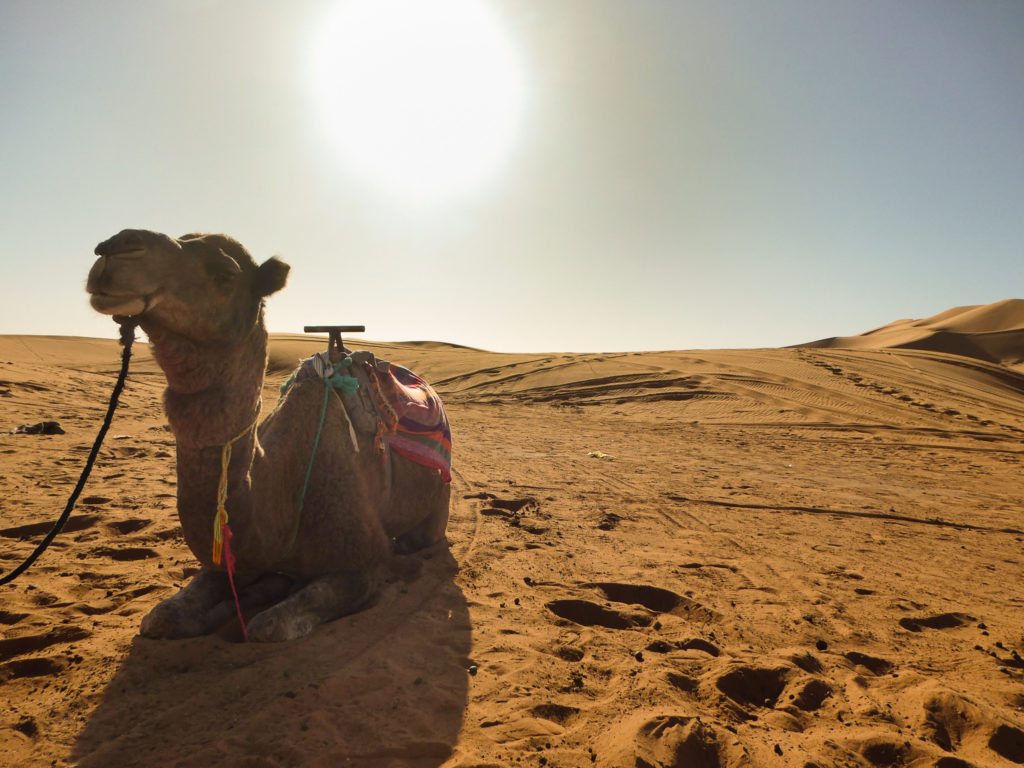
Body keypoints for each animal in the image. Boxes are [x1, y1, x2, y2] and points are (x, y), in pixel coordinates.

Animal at [79, 228, 448, 643]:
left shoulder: (364, 562)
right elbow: (161, 617)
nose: (115, 249)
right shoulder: (229, 559)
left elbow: (266, 626)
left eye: (224, 272)